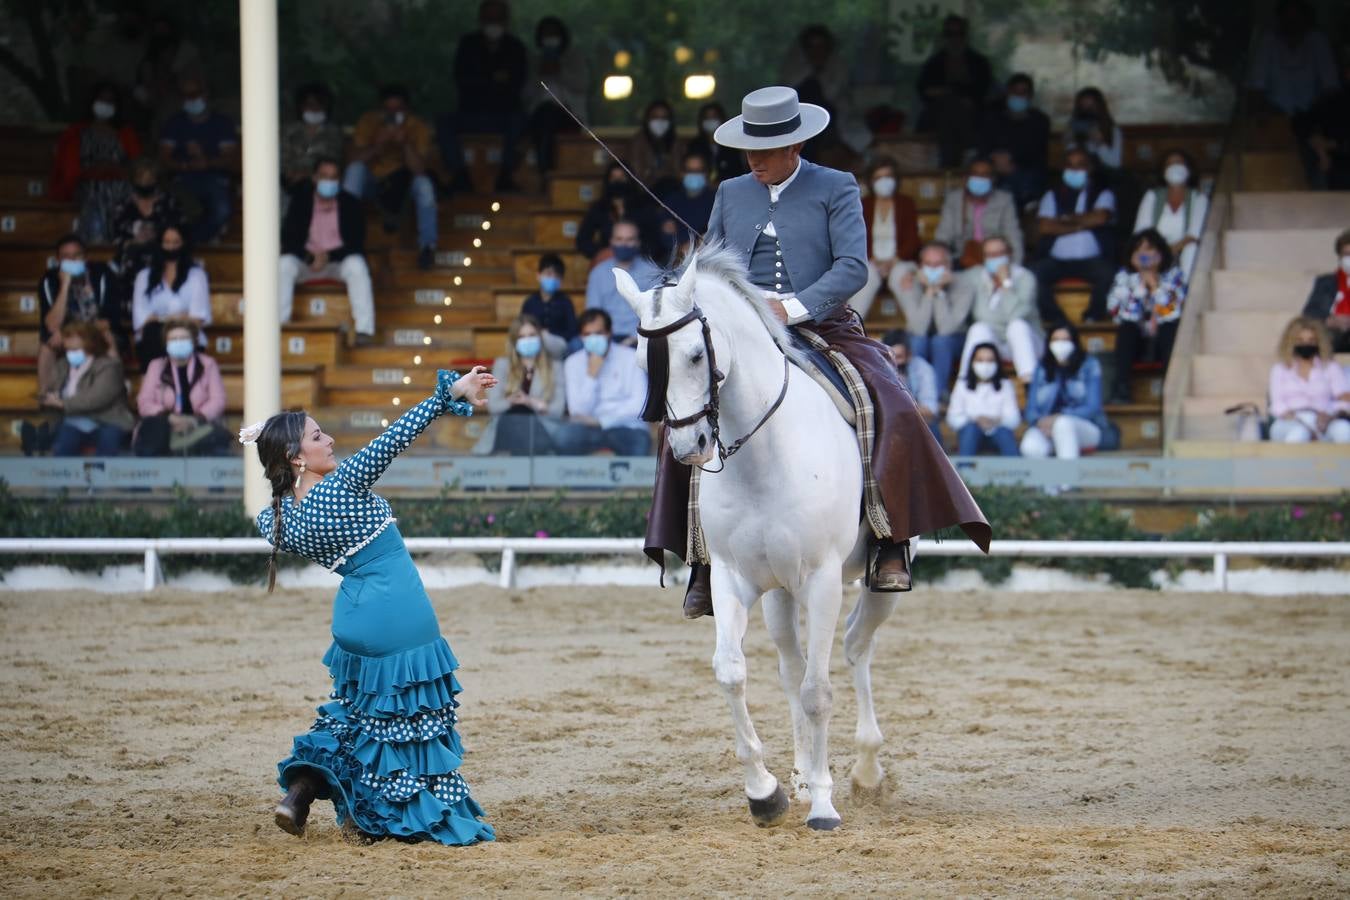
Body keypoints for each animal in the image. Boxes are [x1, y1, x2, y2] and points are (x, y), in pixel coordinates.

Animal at [618, 241, 901, 831]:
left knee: (855, 647)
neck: (764, 456)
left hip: (876, 582)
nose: (690, 449)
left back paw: (864, 771)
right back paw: (803, 774)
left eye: (695, 356)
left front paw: (823, 806)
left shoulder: (822, 581)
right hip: (778, 592)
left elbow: (819, 692)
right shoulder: (734, 578)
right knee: (792, 669)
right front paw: (765, 792)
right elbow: (732, 673)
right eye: (641, 361)